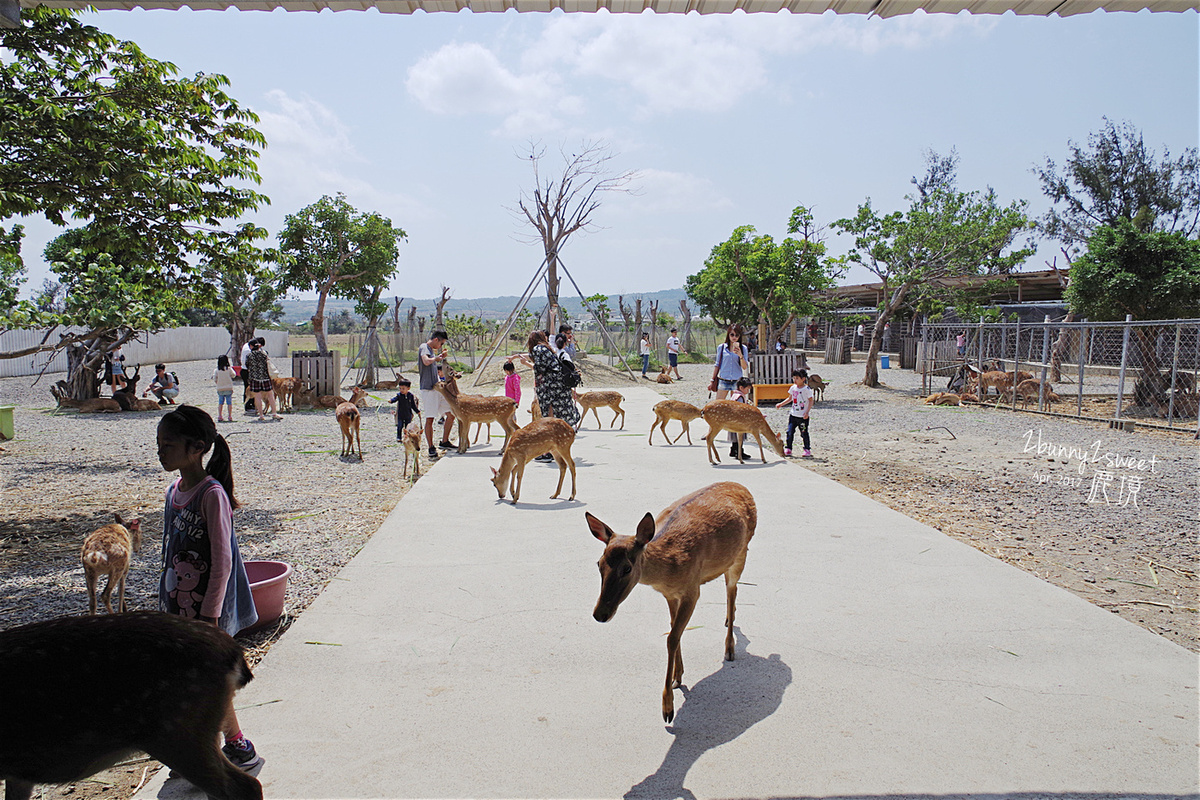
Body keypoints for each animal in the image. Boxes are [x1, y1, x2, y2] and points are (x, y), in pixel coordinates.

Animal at [585, 482, 753, 724]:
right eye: (599, 563)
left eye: (626, 568)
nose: (600, 614)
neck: (668, 568)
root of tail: (742, 486)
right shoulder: (670, 594)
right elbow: (675, 631)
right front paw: (678, 678)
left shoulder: (692, 589)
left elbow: (672, 638)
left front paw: (667, 708)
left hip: (741, 553)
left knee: (732, 591)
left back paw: (729, 649)